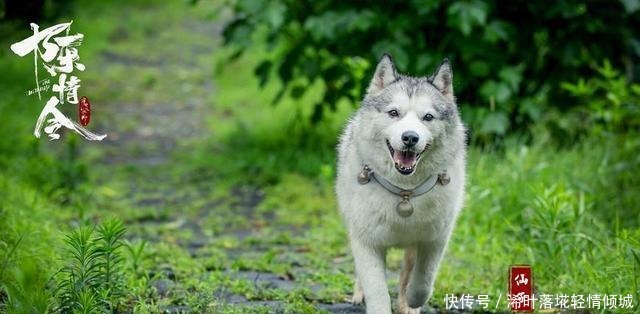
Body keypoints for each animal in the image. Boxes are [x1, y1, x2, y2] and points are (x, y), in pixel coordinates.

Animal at [336, 54, 464, 314]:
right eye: (393, 113)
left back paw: (407, 304)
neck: (405, 192)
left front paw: (413, 300)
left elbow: (423, 280)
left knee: (407, 272)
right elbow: (377, 290)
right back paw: (359, 294)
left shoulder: (434, 240)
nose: (410, 137)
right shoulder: (367, 242)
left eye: (428, 117)